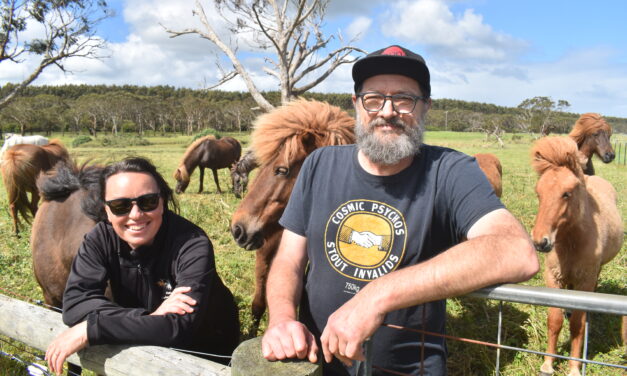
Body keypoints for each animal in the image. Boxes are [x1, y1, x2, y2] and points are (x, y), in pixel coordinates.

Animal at [528, 137, 624, 376]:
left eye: (567, 193)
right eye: (539, 193)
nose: (540, 242)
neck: (572, 243)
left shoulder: (585, 281)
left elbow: (577, 326)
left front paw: (573, 367)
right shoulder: (553, 278)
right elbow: (554, 320)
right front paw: (548, 364)